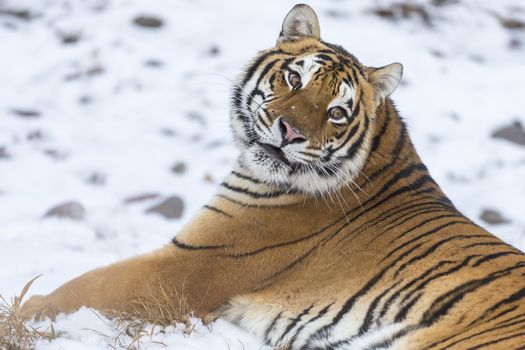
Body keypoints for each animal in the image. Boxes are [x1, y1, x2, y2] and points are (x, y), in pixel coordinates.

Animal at [21, 3, 524, 350]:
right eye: (295, 79)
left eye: (337, 112)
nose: (291, 132)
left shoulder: (186, 265)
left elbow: (83, 287)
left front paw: (24, 310)